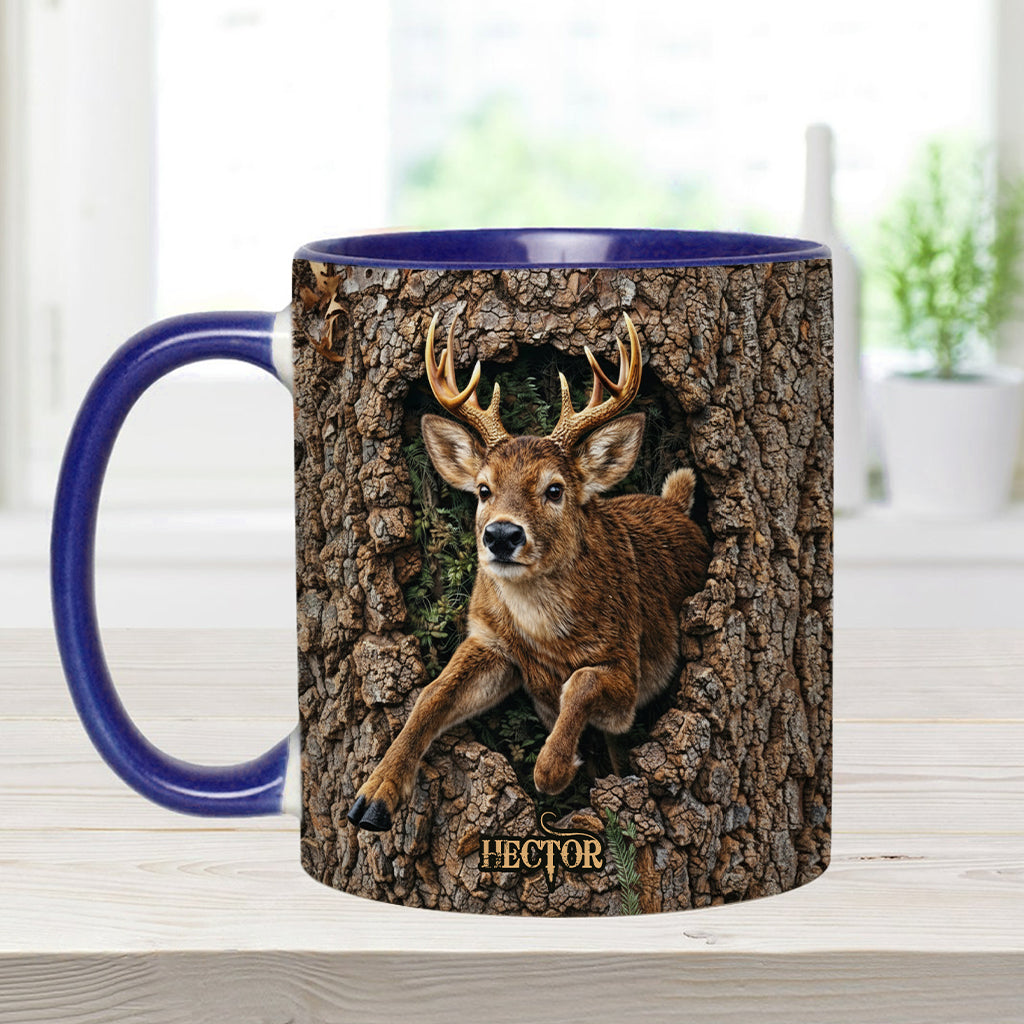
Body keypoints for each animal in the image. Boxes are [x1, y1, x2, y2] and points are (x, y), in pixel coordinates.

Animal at [347, 311, 710, 832]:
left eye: (555, 489)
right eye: (483, 489)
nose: (501, 534)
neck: (543, 635)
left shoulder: (628, 667)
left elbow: (581, 683)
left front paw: (553, 769)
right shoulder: (489, 640)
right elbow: (431, 695)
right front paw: (372, 796)